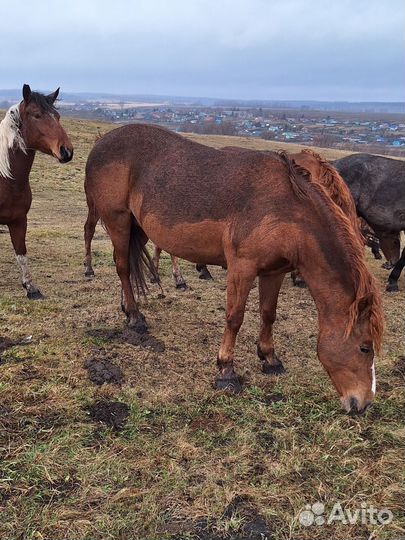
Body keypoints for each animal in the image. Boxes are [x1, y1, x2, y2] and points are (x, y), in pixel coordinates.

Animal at [0, 83, 73, 300]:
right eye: (36, 115)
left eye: (57, 116)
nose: (66, 151)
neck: (7, 179)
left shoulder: (18, 221)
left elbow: (21, 253)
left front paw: (30, 288)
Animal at [84, 125, 382, 414]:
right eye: (365, 347)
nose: (364, 403)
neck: (286, 212)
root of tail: (102, 142)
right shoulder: (242, 267)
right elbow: (235, 317)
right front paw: (226, 369)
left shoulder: (274, 272)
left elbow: (268, 314)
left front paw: (269, 357)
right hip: (118, 221)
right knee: (123, 267)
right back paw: (135, 317)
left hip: (139, 228)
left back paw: (128, 308)